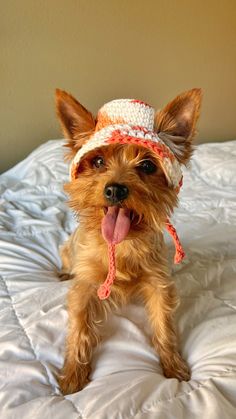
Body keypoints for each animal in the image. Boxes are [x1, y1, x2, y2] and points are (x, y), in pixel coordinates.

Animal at [54, 87, 201, 396]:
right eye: (98, 162)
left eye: (147, 165)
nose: (115, 189)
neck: (122, 245)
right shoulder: (85, 286)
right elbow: (79, 328)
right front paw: (73, 374)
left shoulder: (158, 283)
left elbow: (164, 325)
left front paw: (173, 365)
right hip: (68, 249)